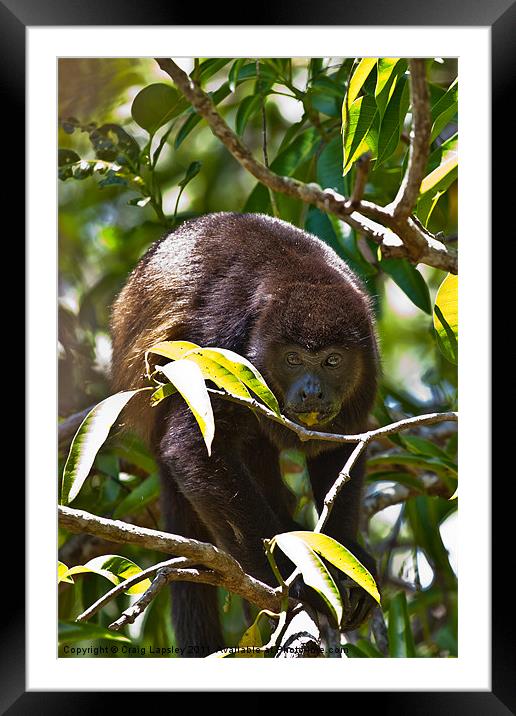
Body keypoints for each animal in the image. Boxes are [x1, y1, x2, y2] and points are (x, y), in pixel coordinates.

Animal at [111, 211, 380, 656]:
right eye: (293, 359)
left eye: (332, 361)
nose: (312, 391)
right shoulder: (225, 345)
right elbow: (194, 450)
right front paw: (297, 577)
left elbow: (340, 447)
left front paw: (345, 565)